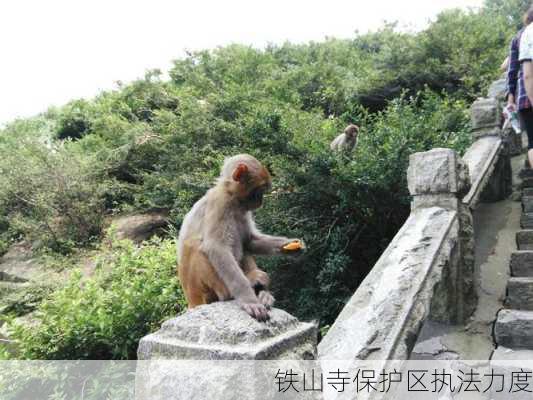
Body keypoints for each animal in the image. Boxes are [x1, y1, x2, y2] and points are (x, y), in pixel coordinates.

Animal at [177, 154, 304, 322]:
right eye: (259, 190)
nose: (261, 201)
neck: (233, 198)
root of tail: (191, 301)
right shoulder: (219, 203)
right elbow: (217, 248)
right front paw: (249, 300)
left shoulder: (242, 210)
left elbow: (250, 241)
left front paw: (291, 246)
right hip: (198, 288)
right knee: (195, 245)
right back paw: (233, 291)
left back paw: (263, 293)